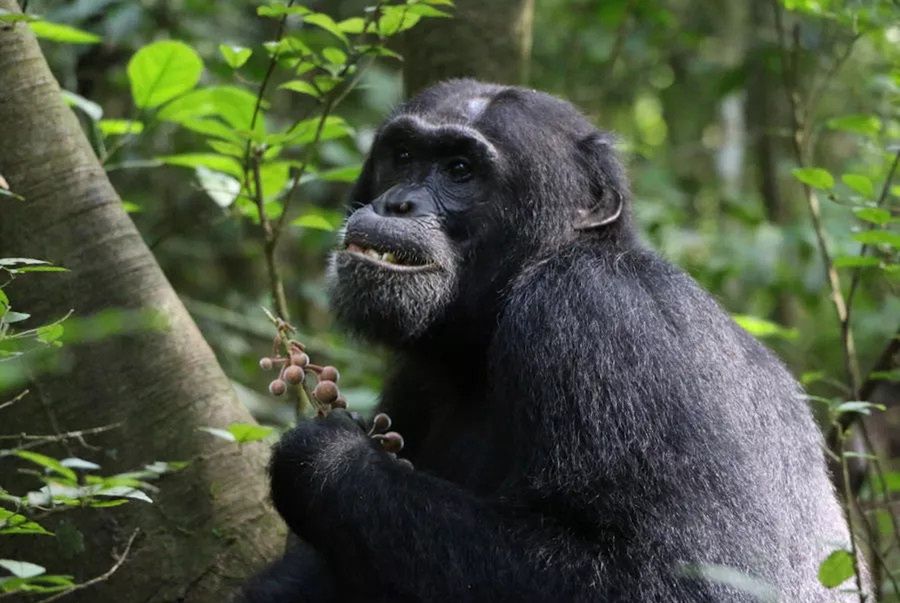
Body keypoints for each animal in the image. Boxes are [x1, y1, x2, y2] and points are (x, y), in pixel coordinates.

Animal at [239, 81, 856, 603]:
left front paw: (326, 460)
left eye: (460, 169)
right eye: (405, 155)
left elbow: (678, 576)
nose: (397, 203)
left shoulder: (597, 320)